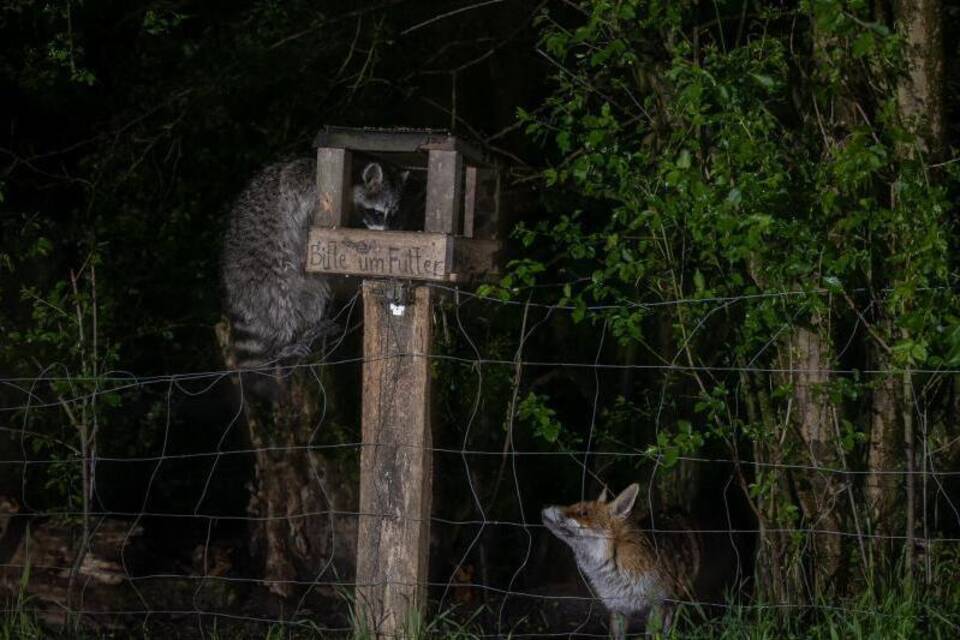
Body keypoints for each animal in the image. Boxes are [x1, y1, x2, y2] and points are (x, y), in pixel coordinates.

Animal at [221, 155, 408, 396]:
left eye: (392, 213)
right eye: (377, 212)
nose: (385, 232)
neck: (351, 178)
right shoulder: (304, 185)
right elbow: (293, 194)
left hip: (301, 282)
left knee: (312, 296)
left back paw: (311, 329)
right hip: (260, 266)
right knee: (278, 302)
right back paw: (282, 344)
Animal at [544, 482, 700, 636]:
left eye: (583, 513)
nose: (546, 507)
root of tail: (674, 508)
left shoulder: (657, 605)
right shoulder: (617, 608)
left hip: (676, 600)